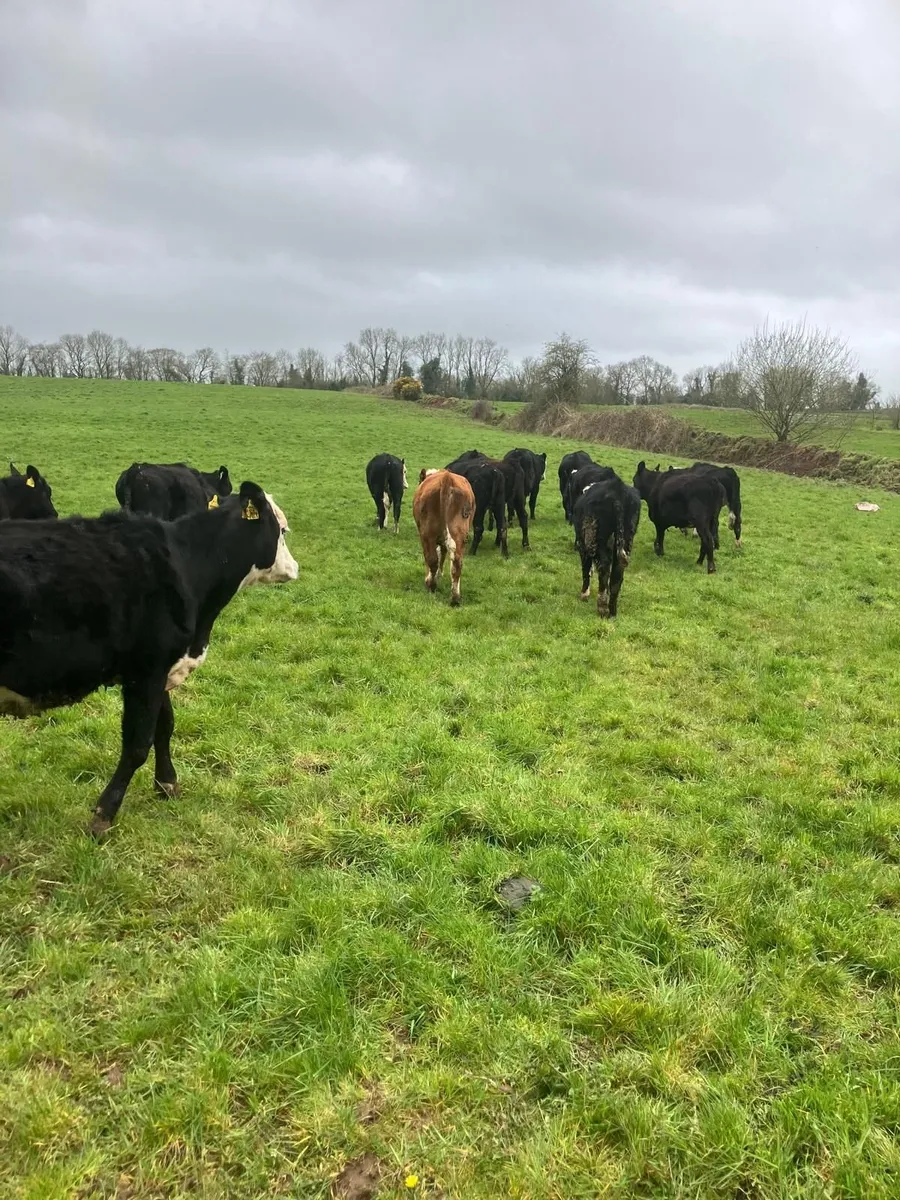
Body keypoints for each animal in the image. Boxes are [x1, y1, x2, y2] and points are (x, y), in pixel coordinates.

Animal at [0, 483, 298, 836]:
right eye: (282, 530)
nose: (295, 567)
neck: (187, 564)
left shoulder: (162, 668)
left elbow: (165, 726)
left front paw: (167, 783)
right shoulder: (147, 671)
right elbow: (137, 744)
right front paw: (104, 813)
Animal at [413, 469, 475, 606]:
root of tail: (447, 478)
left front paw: (434, 576)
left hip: (427, 534)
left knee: (431, 559)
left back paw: (431, 585)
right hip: (460, 533)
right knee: (457, 561)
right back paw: (455, 597)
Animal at [574, 473, 642, 617]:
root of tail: (618, 491)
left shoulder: (583, 545)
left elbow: (586, 570)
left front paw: (584, 594)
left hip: (598, 542)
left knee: (604, 569)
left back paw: (602, 608)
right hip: (627, 539)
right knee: (617, 573)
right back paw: (612, 611)